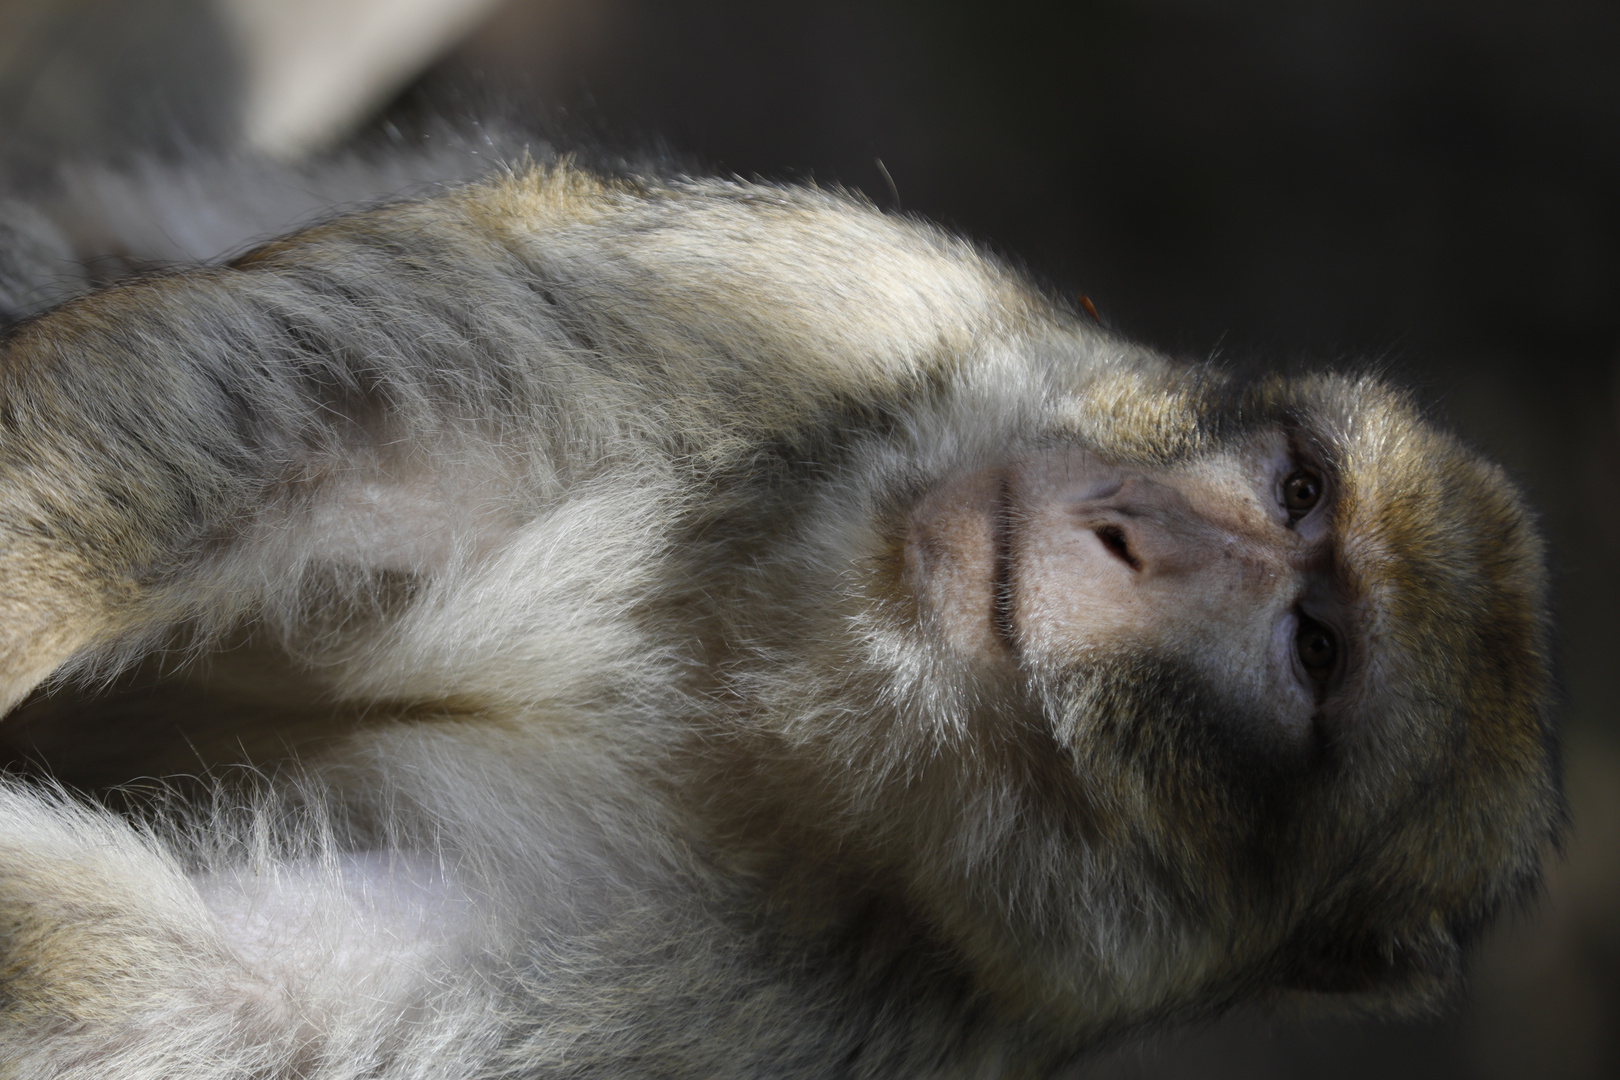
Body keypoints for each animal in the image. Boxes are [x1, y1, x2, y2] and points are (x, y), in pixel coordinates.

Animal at [0, 153, 1561, 1080]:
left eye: (1316, 651)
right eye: (1298, 485)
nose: (1135, 526)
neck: (766, 689)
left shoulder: (753, 1009)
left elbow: (200, 994)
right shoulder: (817, 312)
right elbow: (296, 410)